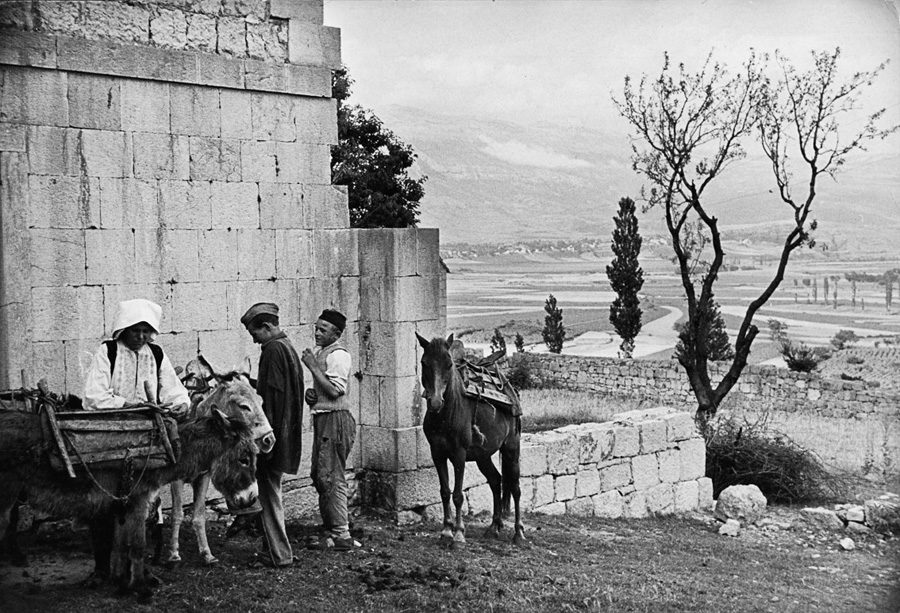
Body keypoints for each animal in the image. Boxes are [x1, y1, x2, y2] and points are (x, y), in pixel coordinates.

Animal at [416, 332, 528, 548]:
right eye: (424, 362)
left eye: (449, 364)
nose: (435, 402)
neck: (447, 413)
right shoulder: (438, 454)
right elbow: (445, 491)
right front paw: (446, 531)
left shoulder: (458, 455)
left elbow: (458, 495)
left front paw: (459, 534)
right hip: (482, 456)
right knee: (496, 481)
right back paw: (493, 527)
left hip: (511, 449)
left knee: (516, 488)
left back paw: (518, 533)